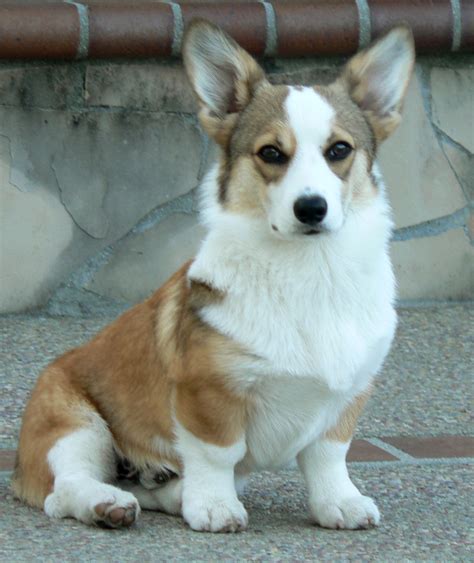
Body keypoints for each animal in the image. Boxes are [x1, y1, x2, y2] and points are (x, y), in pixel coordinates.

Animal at [12, 20, 414, 532]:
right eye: (271, 153)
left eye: (339, 150)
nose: (311, 208)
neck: (310, 270)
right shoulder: (207, 394)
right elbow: (217, 454)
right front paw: (214, 507)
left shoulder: (348, 394)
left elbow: (329, 456)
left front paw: (339, 503)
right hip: (75, 425)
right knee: (63, 489)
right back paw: (108, 503)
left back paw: (167, 491)